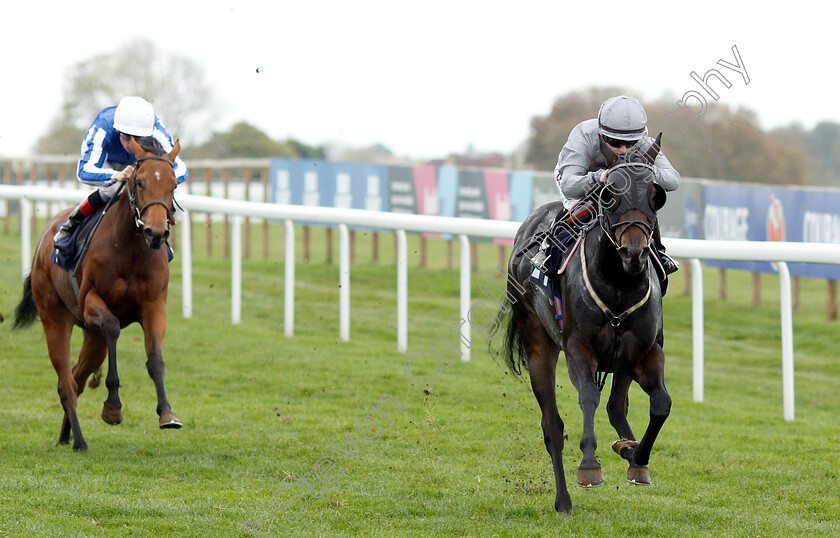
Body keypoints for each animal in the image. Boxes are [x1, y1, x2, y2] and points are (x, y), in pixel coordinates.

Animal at [13, 135, 185, 448]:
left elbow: (155, 358)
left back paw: (65, 437)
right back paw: (79, 441)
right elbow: (114, 326)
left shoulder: (154, 305)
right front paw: (113, 407)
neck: (129, 248)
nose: (156, 233)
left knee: (76, 378)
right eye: (139, 181)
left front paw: (167, 413)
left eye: (173, 184)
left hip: (92, 337)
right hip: (56, 319)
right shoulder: (90, 302)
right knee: (66, 382)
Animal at [502, 134, 672, 510]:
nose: (634, 253)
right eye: (609, 194)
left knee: (616, 407)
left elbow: (660, 405)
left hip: (622, 359)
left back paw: (628, 449)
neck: (619, 286)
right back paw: (563, 500)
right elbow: (588, 398)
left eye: (656, 195)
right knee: (552, 425)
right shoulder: (578, 348)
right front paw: (590, 467)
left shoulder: (646, 351)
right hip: (538, 342)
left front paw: (638, 460)